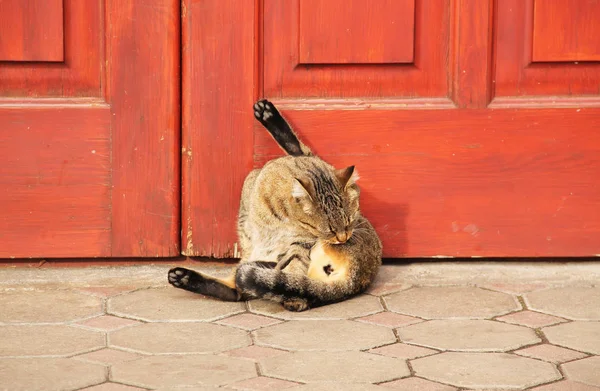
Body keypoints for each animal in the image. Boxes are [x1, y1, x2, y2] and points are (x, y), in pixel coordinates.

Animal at [166, 99, 382, 312]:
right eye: (330, 230)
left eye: (350, 221)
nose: (343, 238)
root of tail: (355, 277)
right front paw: (266, 113)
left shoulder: (301, 241)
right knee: (239, 288)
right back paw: (183, 276)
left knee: (269, 283)